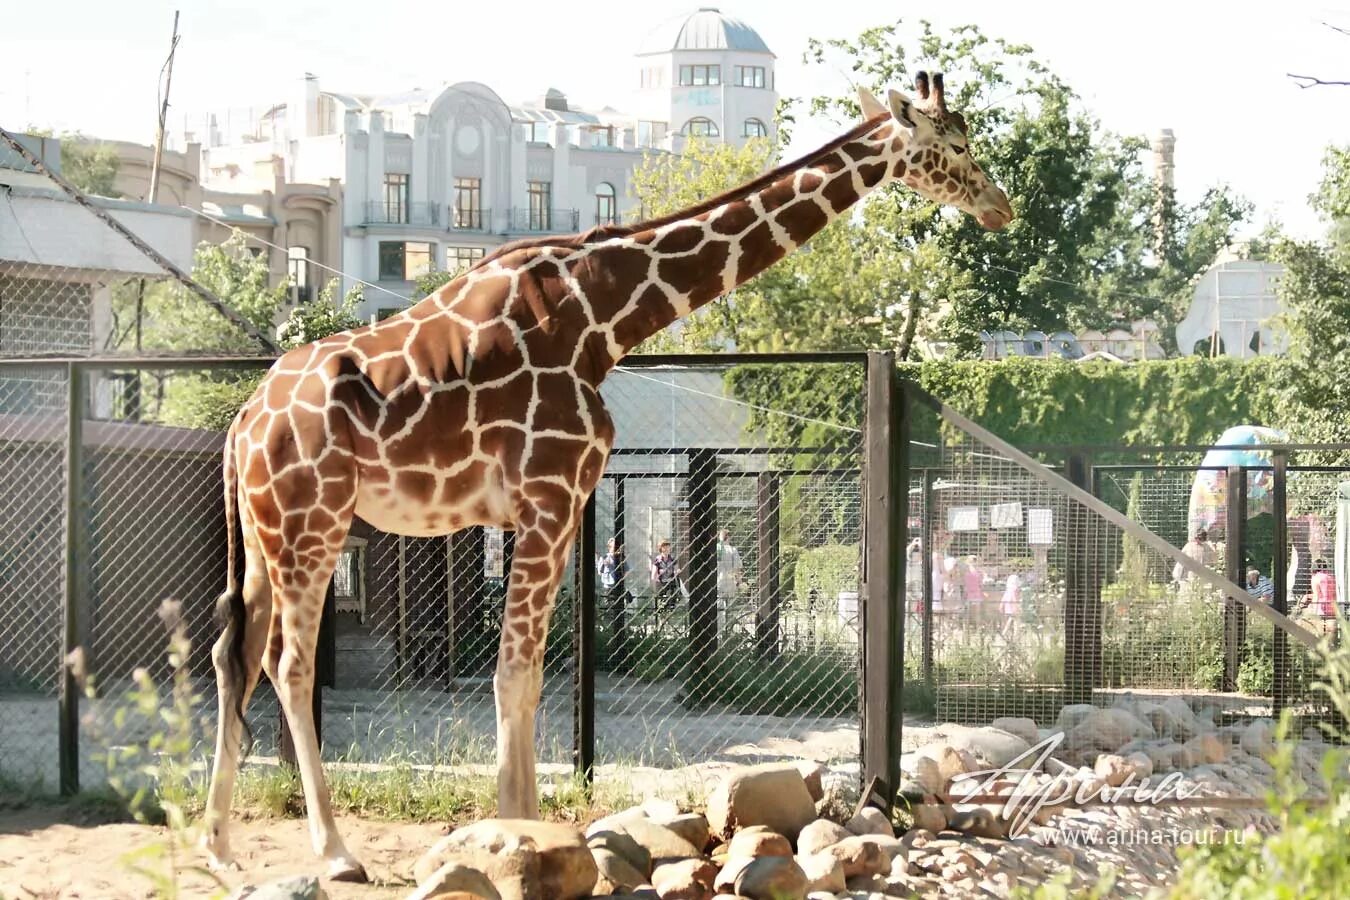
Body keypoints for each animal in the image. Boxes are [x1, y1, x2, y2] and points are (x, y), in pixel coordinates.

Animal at [202, 72, 1015, 879]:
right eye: (955, 143)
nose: (999, 206)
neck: (605, 316)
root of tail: (243, 422)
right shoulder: (551, 496)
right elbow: (517, 673)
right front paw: (517, 832)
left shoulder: (556, 508)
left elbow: (530, 675)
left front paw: (524, 829)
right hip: (312, 523)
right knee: (288, 663)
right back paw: (335, 853)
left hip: (268, 535)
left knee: (232, 652)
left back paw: (216, 843)